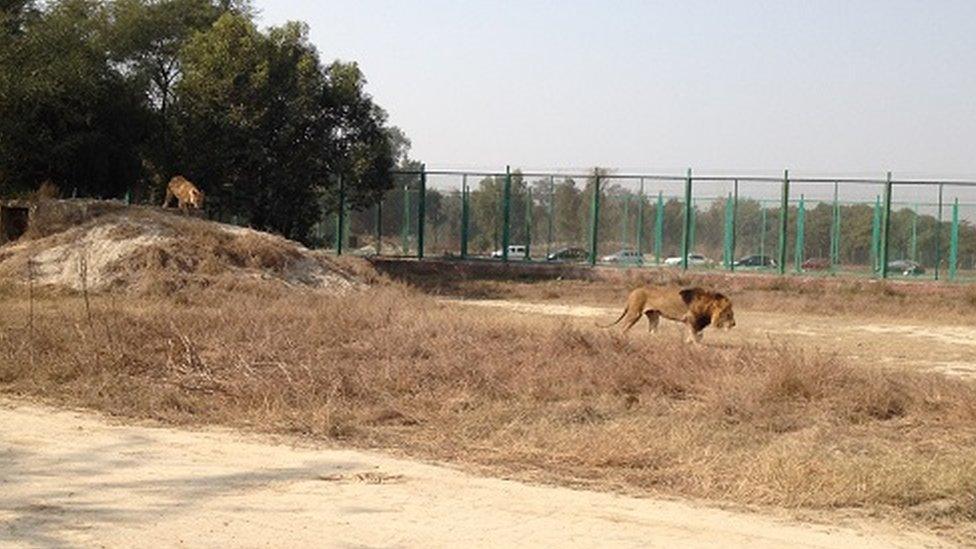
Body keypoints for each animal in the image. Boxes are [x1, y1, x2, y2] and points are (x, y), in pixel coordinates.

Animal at [600, 286, 736, 342]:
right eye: (729, 314)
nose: (734, 324)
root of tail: (632, 292)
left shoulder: (694, 322)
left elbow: (699, 335)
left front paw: (689, 342)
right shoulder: (691, 319)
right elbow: (695, 335)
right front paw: (696, 345)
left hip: (654, 315)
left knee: (652, 331)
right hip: (635, 313)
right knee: (624, 328)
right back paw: (623, 339)